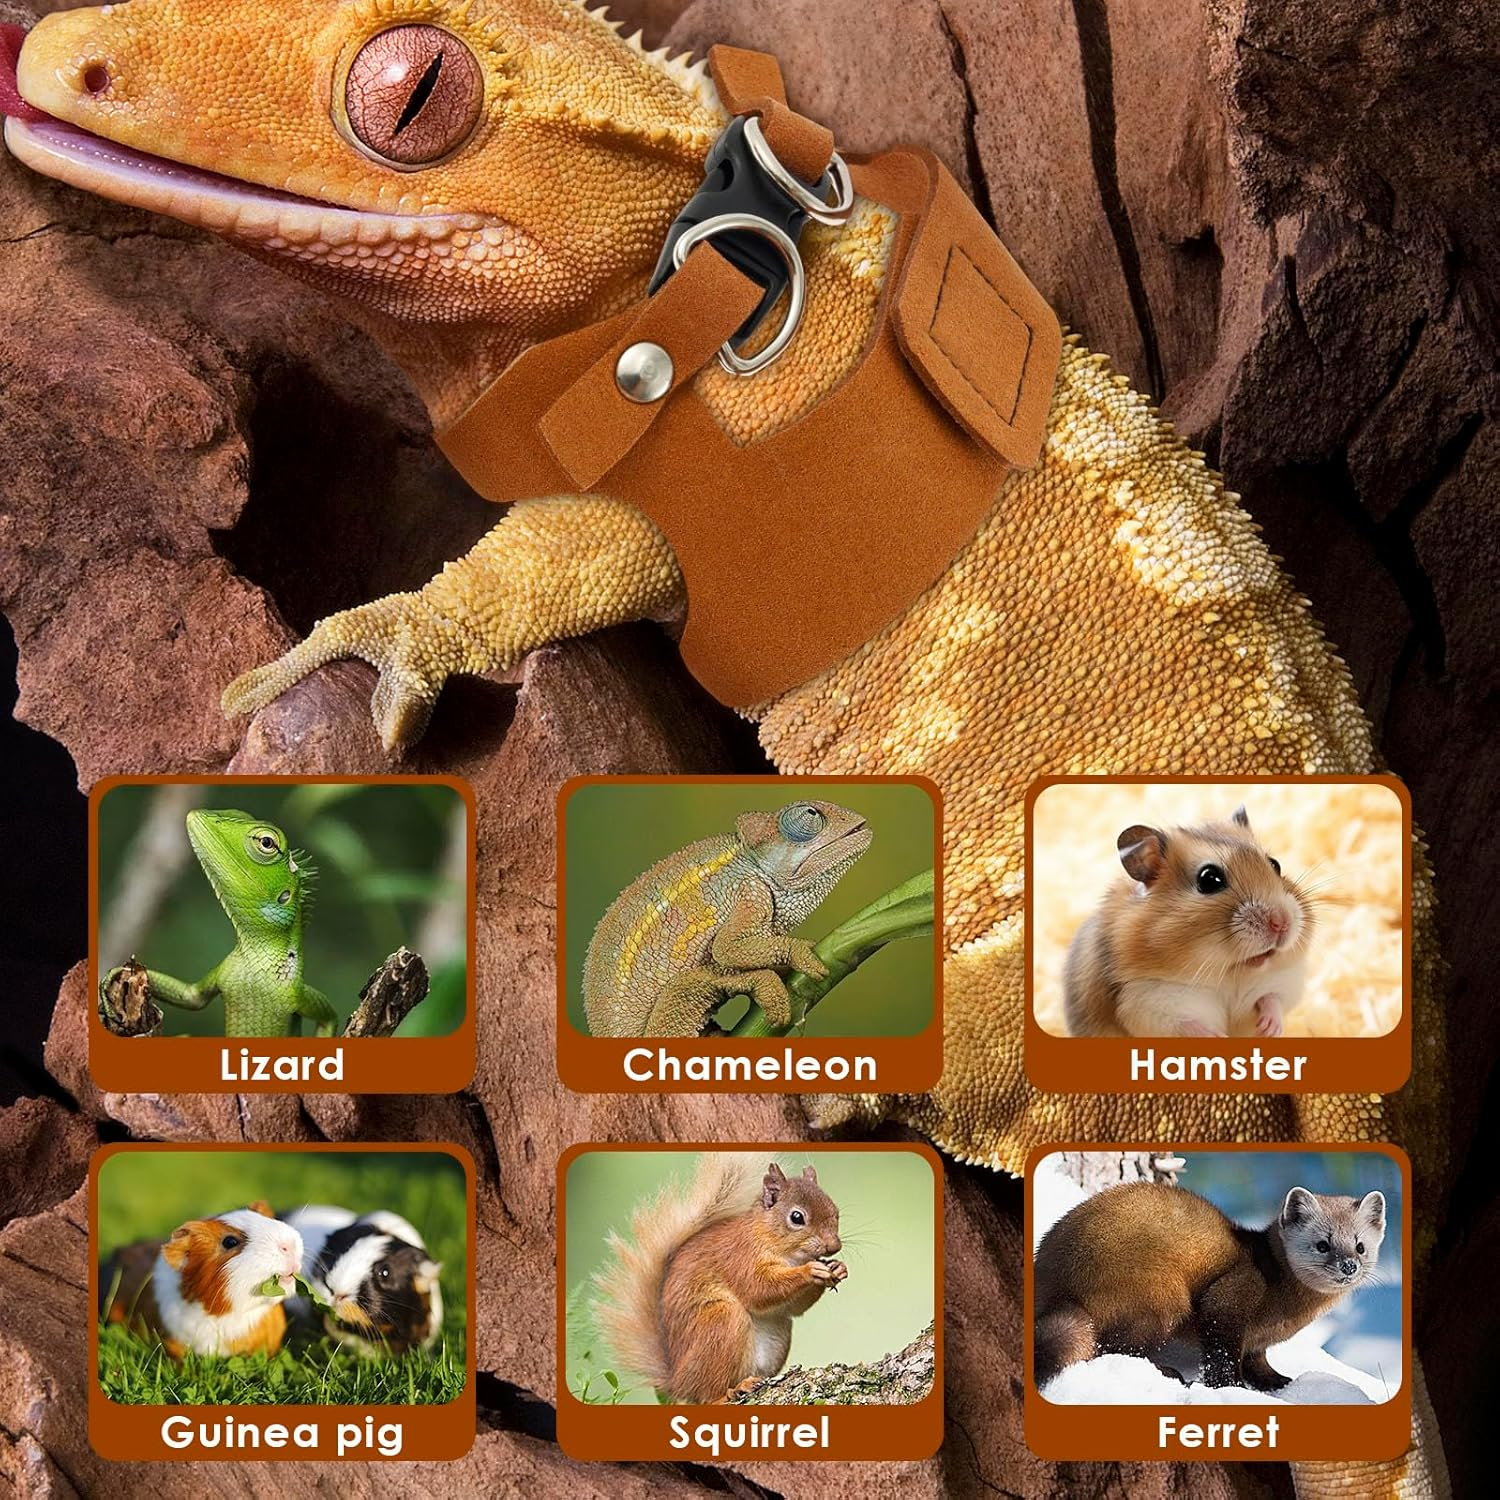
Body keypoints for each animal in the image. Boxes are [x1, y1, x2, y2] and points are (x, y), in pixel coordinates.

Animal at [593, 1155, 847, 1403]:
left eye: (835, 1210)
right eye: (796, 1217)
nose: (834, 1246)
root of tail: (678, 1382)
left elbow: (794, 1307)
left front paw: (838, 1268)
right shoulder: (740, 1259)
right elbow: (759, 1289)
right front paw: (810, 1271)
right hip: (721, 1322)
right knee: (707, 1395)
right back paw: (729, 1393)